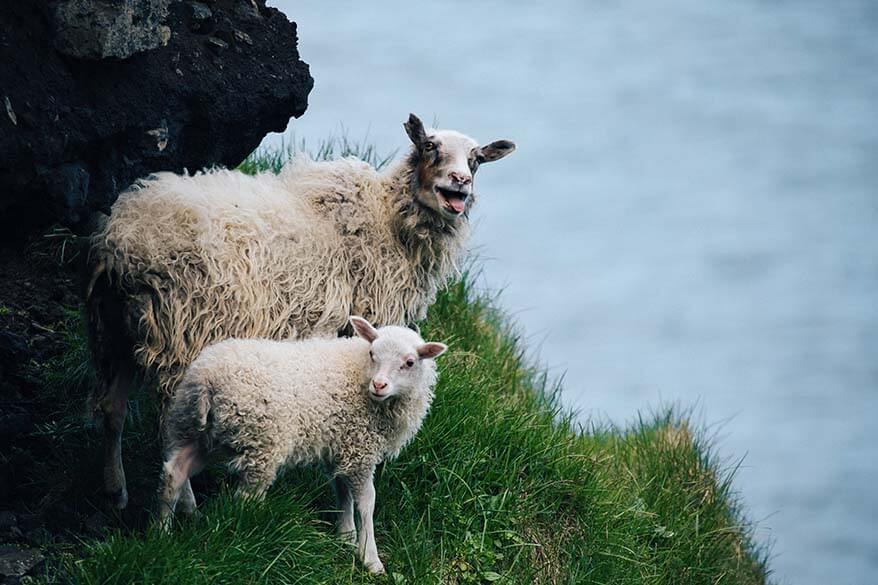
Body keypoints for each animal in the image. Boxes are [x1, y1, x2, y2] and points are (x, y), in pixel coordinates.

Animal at [87, 114, 516, 506]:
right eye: (430, 146)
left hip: (115, 330)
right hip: (180, 332)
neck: (388, 221)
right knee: (168, 427)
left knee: (112, 408)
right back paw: (186, 506)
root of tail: (122, 245)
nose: (460, 181)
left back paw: (115, 490)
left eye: (477, 159)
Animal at [156, 318, 446, 572]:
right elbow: (366, 502)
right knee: (243, 499)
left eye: (409, 362)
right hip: (260, 442)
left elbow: (342, 491)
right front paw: (370, 558)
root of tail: (206, 380)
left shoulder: (342, 447)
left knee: (175, 473)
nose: (379, 384)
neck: (359, 374)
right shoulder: (360, 450)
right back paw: (245, 535)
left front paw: (345, 536)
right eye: (373, 353)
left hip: (198, 431)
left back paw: (162, 532)